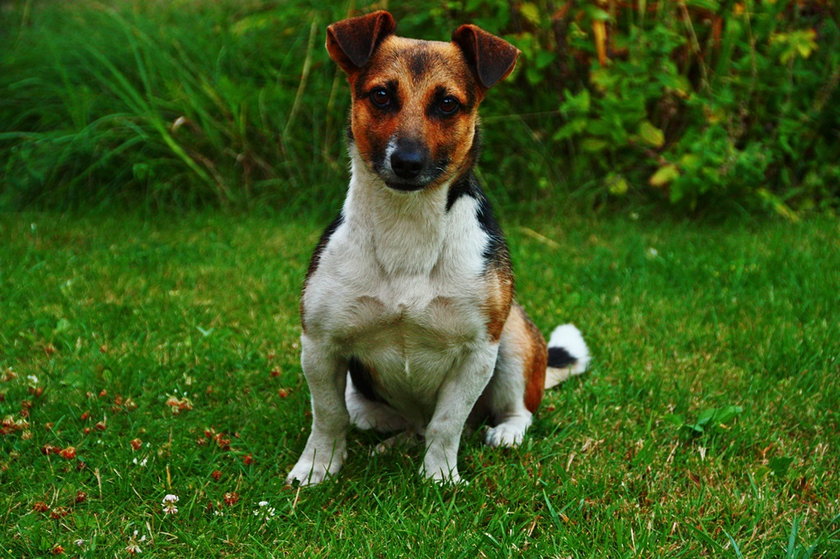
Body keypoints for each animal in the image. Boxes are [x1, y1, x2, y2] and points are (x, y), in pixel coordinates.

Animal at [286, 9, 588, 486]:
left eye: (447, 103)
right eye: (381, 95)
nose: (407, 162)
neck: (408, 225)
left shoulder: (478, 351)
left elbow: (448, 423)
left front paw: (440, 478)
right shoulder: (320, 343)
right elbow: (328, 415)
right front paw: (317, 467)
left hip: (514, 336)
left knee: (513, 412)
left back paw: (505, 433)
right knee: (387, 421)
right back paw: (394, 442)